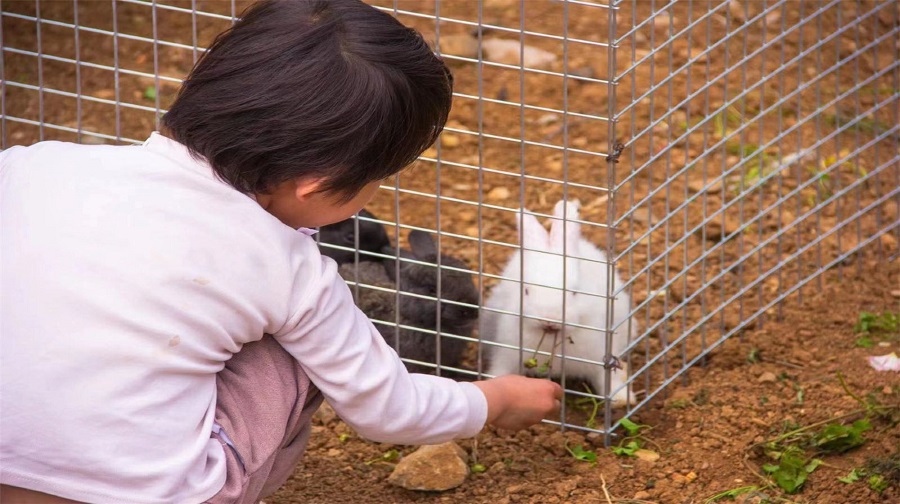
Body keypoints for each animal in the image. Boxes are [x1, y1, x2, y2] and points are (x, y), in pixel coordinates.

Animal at [486, 199, 632, 408]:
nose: (549, 320)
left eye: (574, 292)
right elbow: (501, 371)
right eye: (526, 291)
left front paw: (621, 399)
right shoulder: (507, 353)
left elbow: (607, 379)